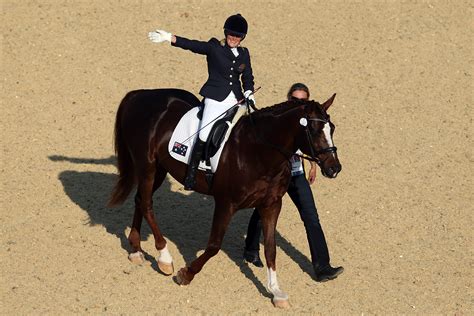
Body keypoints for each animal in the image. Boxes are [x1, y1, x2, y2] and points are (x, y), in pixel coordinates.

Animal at [108, 87, 340, 308]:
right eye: (313, 130)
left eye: (332, 128)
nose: (334, 168)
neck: (260, 152)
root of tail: (139, 94)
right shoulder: (226, 203)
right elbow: (214, 245)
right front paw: (186, 274)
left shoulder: (272, 205)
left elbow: (271, 249)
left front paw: (276, 292)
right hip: (146, 166)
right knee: (147, 204)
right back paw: (164, 258)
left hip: (159, 169)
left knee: (140, 200)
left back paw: (136, 250)